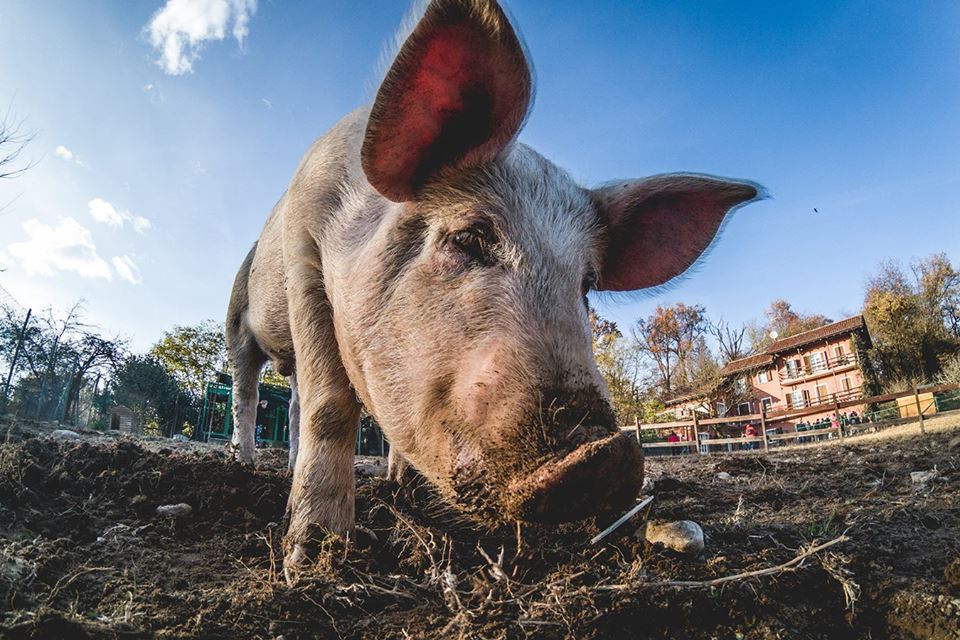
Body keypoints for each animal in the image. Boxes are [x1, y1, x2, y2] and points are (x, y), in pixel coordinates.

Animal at [225, 0, 756, 580]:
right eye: (469, 237)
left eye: (587, 283)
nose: (603, 455)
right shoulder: (305, 254)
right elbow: (331, 405)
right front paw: (311, 558)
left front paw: (399, 488)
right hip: (236, 323)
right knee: (250, 394)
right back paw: (244, 465)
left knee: (292, 402)